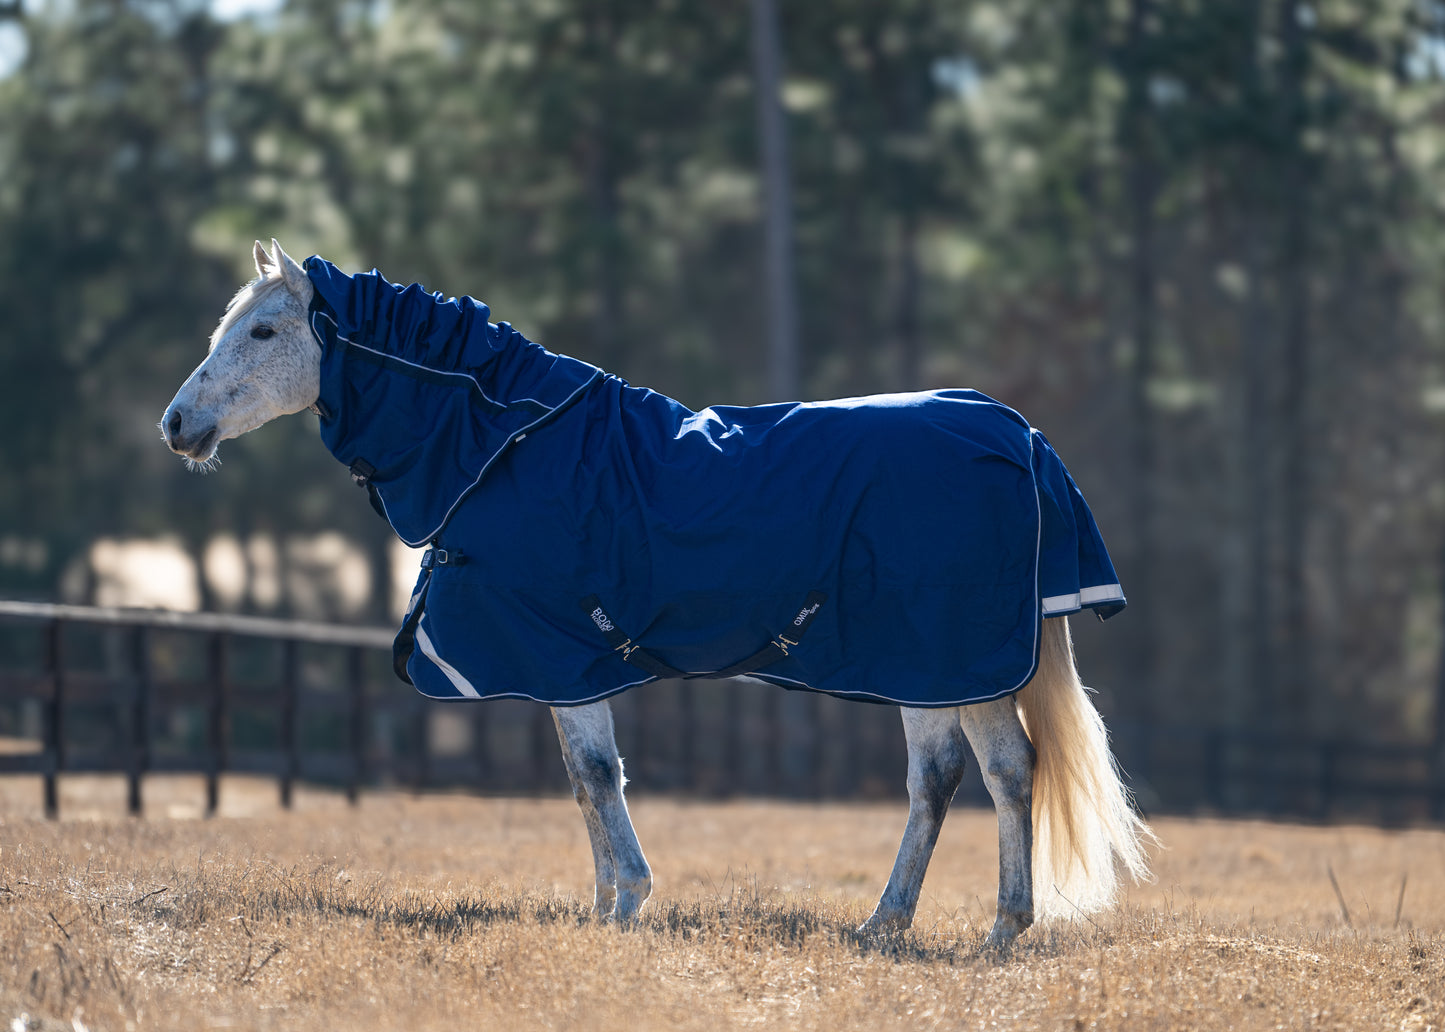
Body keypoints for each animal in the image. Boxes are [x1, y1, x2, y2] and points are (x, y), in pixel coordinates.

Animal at [161, 240, 1152, 949]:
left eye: (262, 333)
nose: (176, 424)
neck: (511, 443)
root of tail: (1015, 432)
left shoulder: (565, 656)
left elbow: (599, 776)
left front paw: (629, 903)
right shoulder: (565, 667)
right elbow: (582, 782)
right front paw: (603, 906)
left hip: (953, 655)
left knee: (999, 773)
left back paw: (994, 931)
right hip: (927, 666)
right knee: (948, 779)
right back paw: (895, 925)